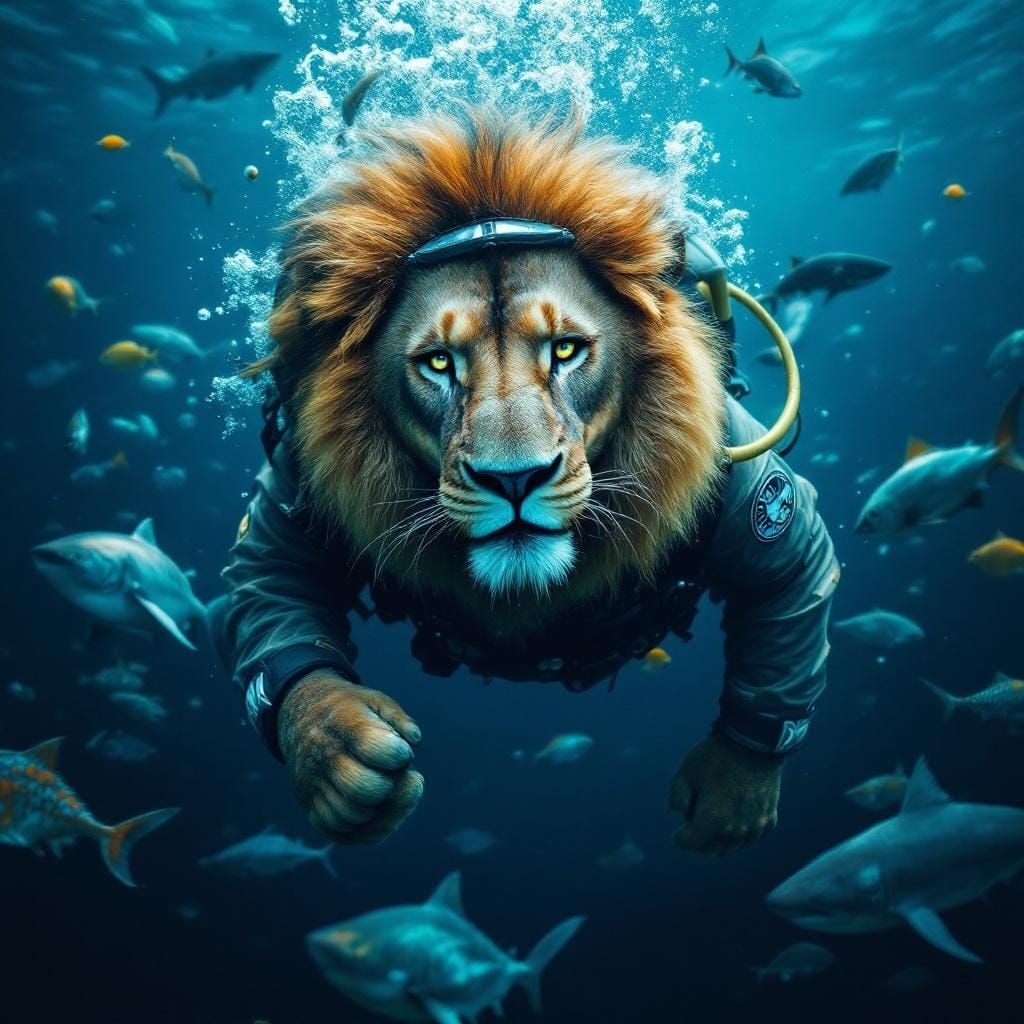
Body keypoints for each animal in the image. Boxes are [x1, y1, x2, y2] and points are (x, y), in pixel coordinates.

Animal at [221, 106, 838, 856]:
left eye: (565, 350)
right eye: (438, 362)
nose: (513, 480)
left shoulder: (757, 499)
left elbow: (793, 581)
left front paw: (733, 786)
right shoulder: (298, 480)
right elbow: (267, 575)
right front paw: (337, 746)